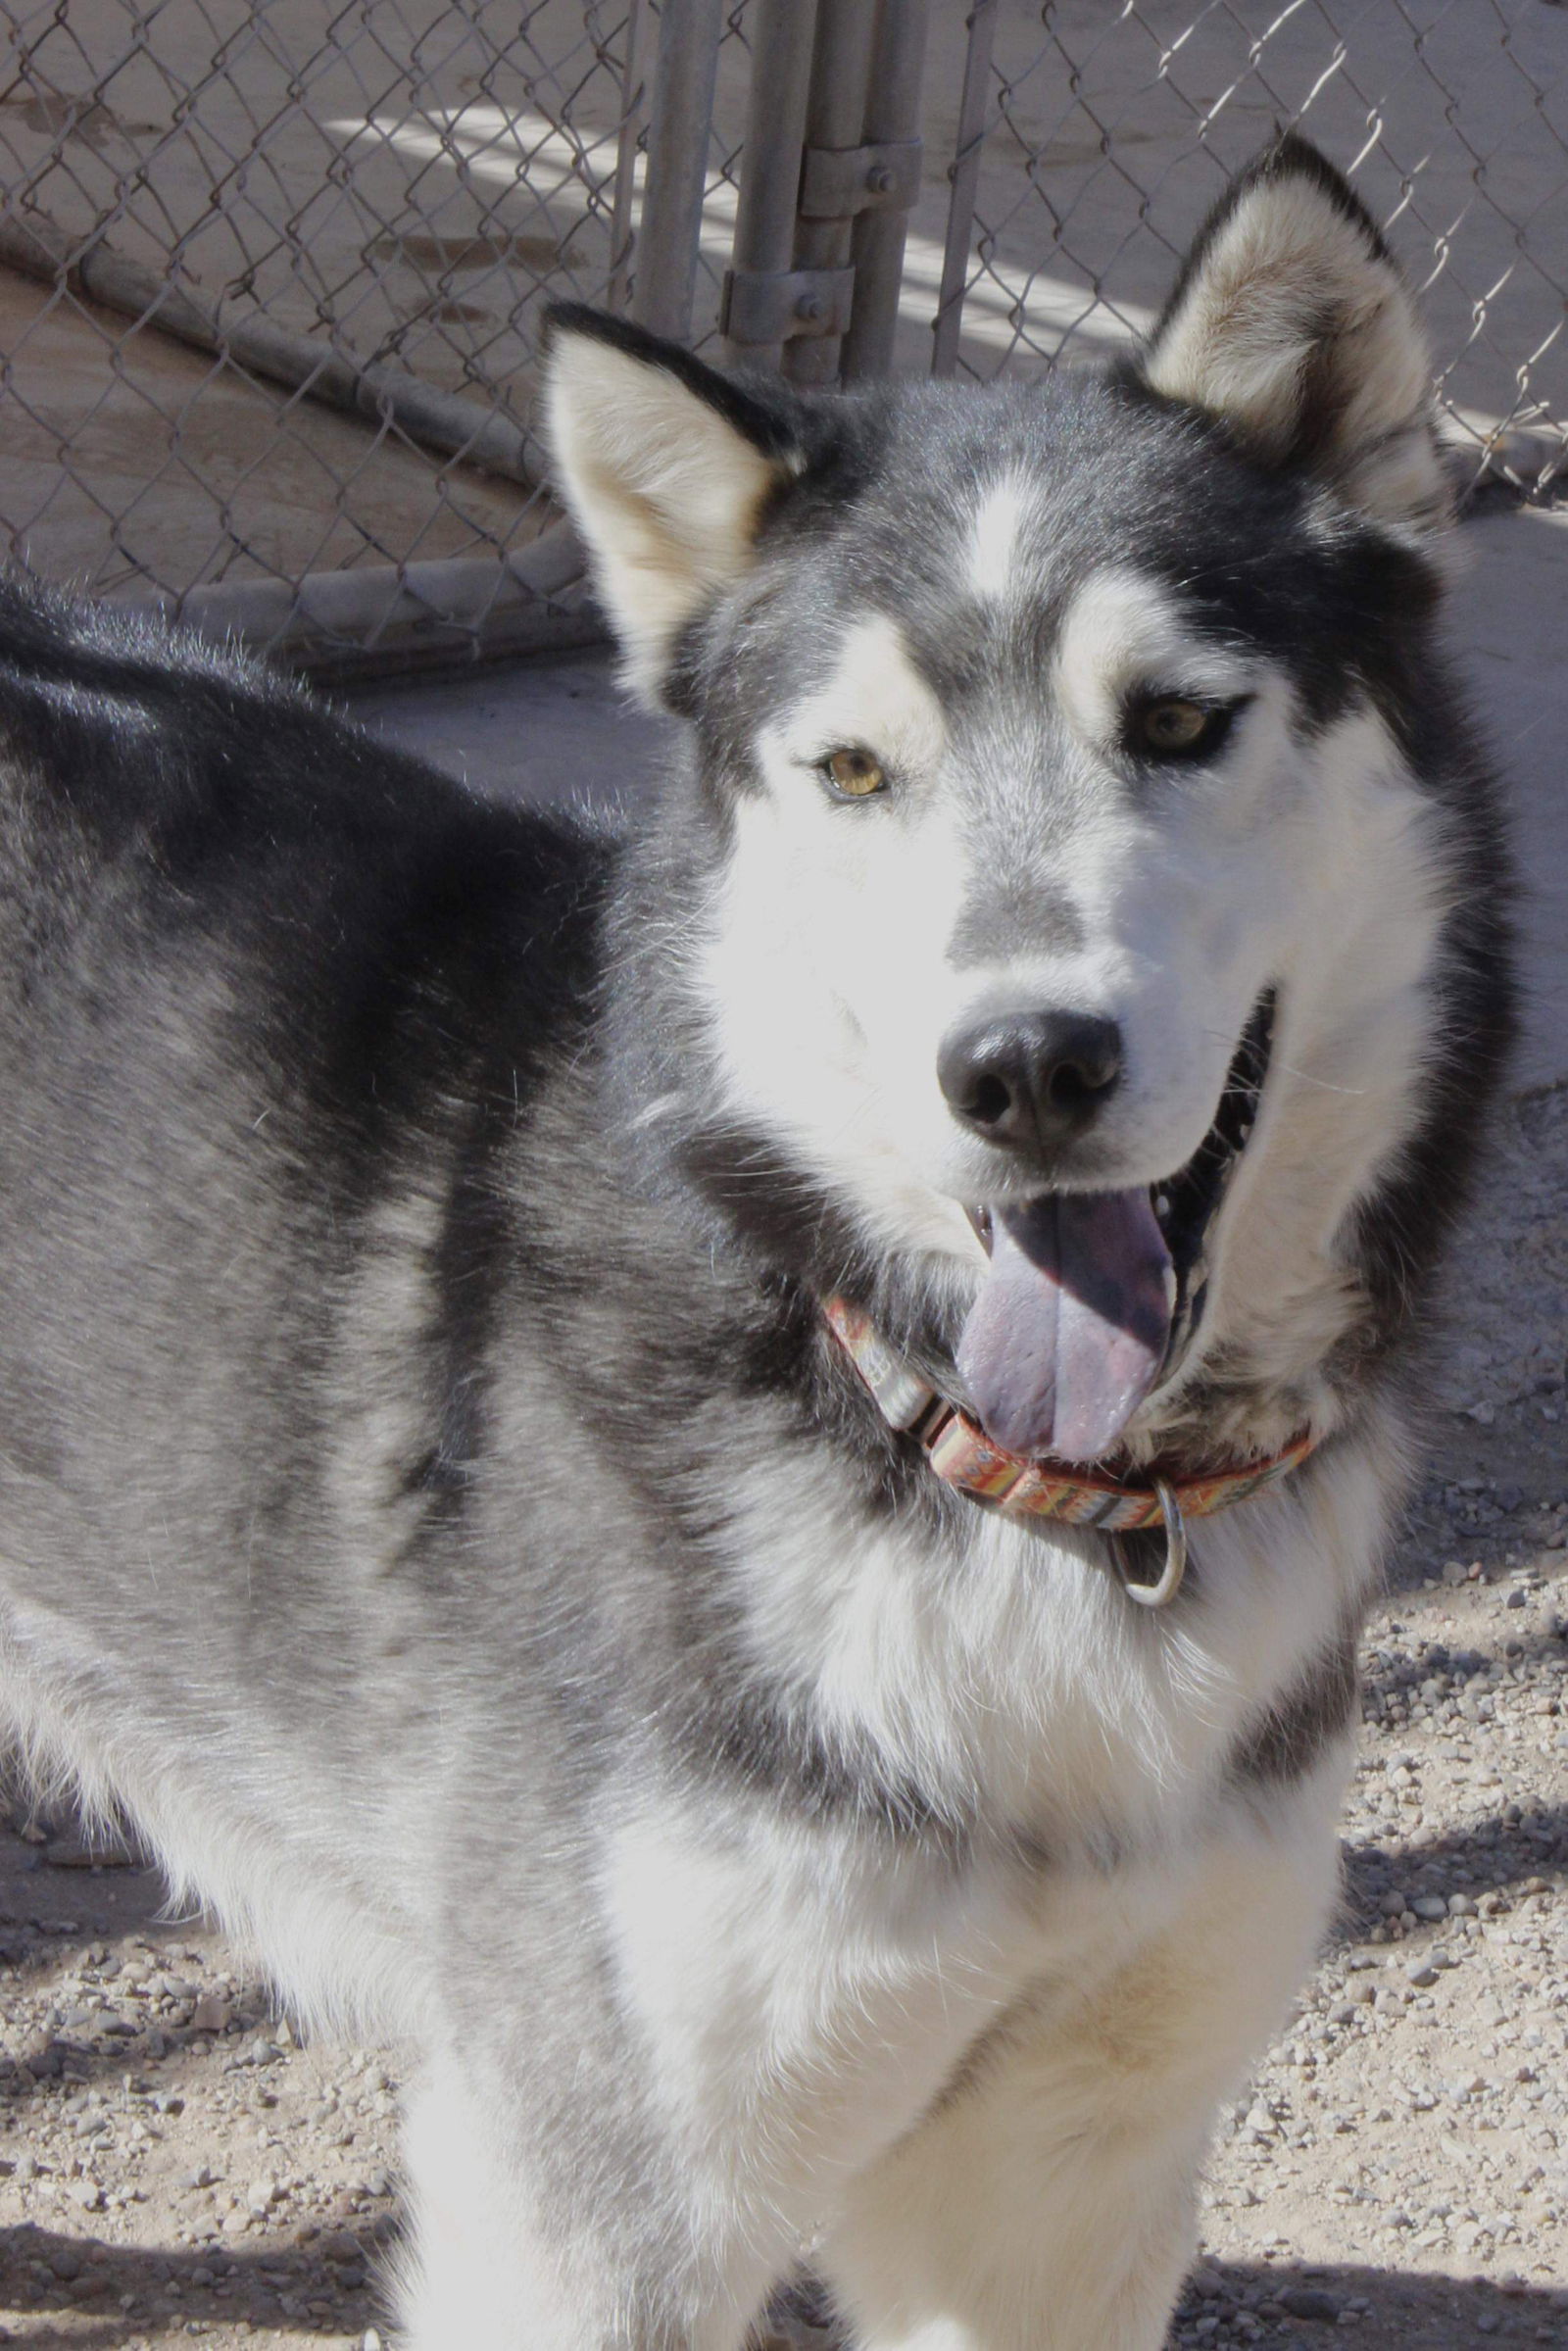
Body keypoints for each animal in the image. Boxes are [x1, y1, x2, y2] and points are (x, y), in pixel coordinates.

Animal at [0, 142, 1523, 2351]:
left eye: (1175, 718)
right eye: (854, 767)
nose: (1023, 1066)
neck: (989, 1478)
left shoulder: (1064, 2181)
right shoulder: (602, 2200)